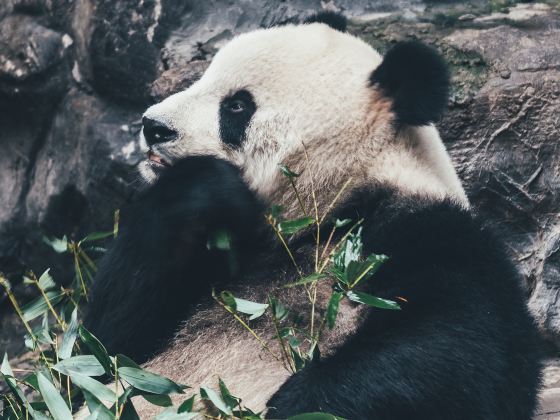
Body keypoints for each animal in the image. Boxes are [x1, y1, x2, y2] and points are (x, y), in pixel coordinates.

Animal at [84, 11, 544, 418]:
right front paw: (207, 186)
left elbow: (458, 353)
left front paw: (296, 404)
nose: (153, 127)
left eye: (236, 106)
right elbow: (106, 347)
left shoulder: (425, 234)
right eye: (203, 77)